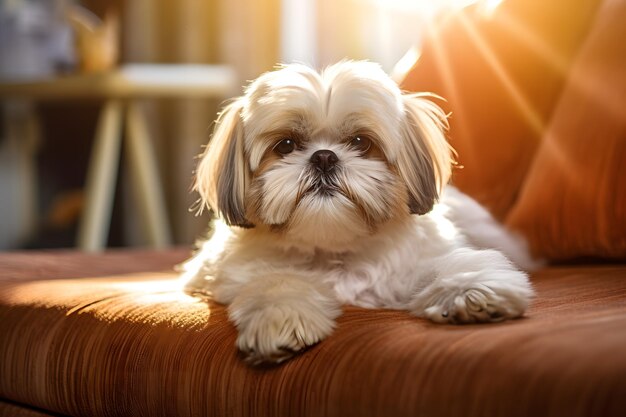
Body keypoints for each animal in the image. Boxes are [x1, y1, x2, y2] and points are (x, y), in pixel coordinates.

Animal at [178, 60, 532, 362]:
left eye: (361, 142)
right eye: (286, 145)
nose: (323, 157)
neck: (335, 249)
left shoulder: (417, 261)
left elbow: (449, 265)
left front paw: (471, 292)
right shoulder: (232, 275)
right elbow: (277, 282)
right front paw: (279, 318)